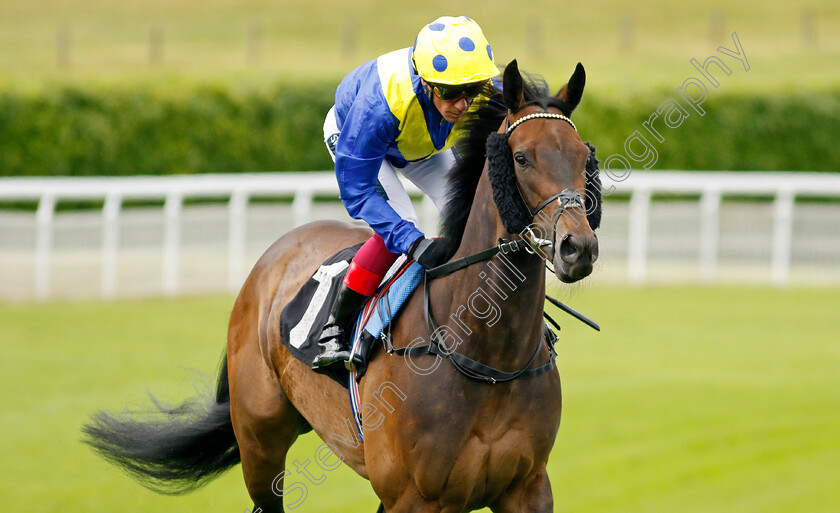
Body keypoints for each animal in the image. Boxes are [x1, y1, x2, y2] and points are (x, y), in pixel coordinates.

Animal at [83, 61, 596, 512]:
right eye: (522, 158)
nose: (578, 248)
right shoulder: (412, 497)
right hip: (260, 441)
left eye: (582, 156)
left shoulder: (527, 488)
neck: (488, 358)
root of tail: (270, 261)